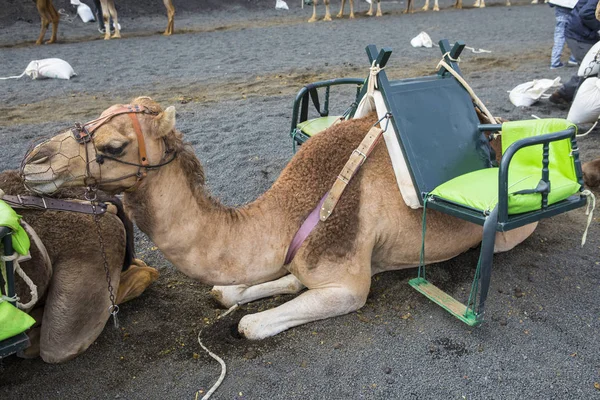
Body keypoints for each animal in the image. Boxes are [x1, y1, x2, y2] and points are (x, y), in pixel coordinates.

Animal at [21, 97, 536, 340]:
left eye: (113, 145)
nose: (33, 160)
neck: (292, 211)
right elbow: (245, 287)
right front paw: (234, 292)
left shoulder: (349, 283)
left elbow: (250, 325)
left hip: (511, 230)